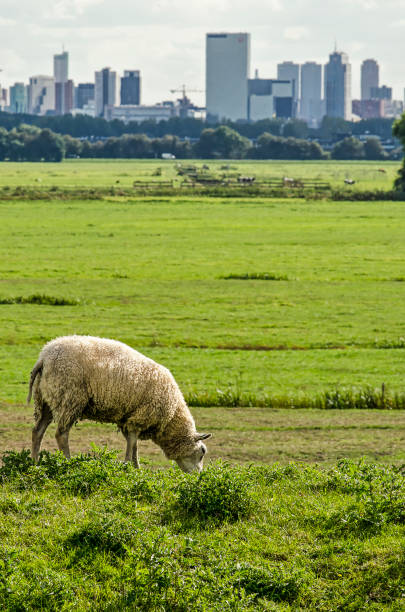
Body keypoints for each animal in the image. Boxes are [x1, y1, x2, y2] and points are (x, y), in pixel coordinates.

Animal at [27, 334, 211, 474]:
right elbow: (132, 444)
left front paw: (135, 467)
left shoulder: (129, 419)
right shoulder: (140, 416)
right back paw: (68, 461)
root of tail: (44, 357)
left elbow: (133, 444)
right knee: (61, 434)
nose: (199, 475)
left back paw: (35, 463)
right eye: (202, 452)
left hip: (46, 399)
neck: (171, 417)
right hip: (69, 397)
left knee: (37, 431)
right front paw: (129, 466)